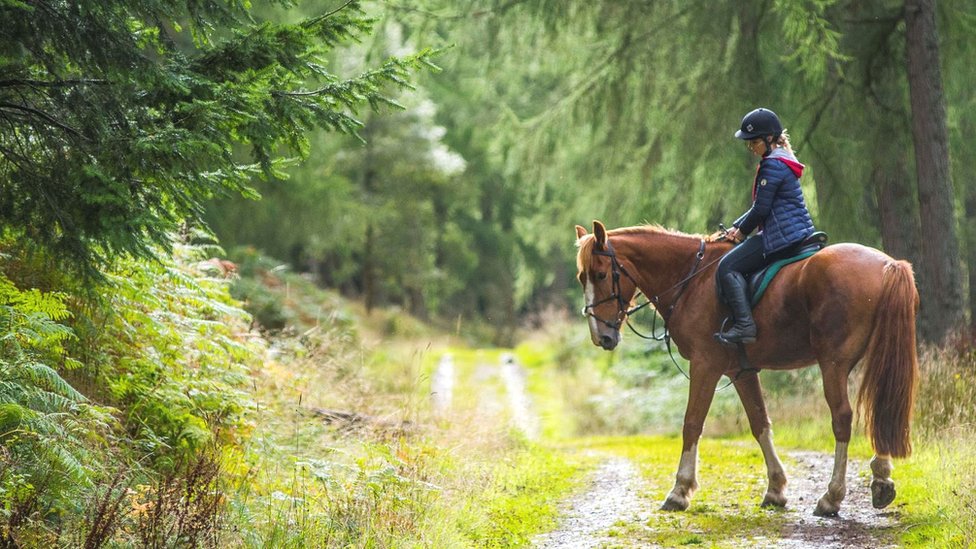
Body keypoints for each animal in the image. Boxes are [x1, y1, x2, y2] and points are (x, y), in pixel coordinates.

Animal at [576, 220, 920, 516]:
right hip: (873, 356)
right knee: (879, 408)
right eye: (582, 277)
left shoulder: (705, 365)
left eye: (601, 274)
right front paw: (776, 490)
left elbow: (692, 424)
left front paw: (680, 491)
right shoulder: (741, 371)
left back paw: (831, 496)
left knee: (842, 419)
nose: (601, 337)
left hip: (833, 364)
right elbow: (759, 423)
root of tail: (888, 264)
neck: (692, 279)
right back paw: (881, 480)